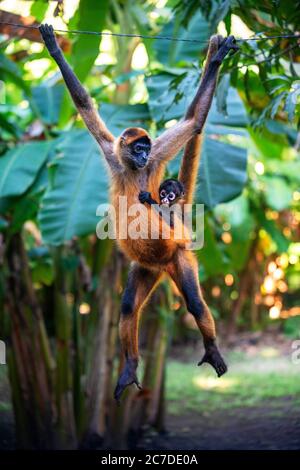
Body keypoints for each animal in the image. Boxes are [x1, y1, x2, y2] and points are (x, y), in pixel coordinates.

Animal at [39, 23, 239, 402]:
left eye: (148, 148)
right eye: (137, 148)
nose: (144, 156)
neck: (133, 169)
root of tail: (162, 265)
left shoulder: (158, 159)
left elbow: (193, 122)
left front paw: (217, 59)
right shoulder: (111, 153)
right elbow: (84, 104)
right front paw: (54, 48)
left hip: (177, 256)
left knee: (194, 302)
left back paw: (211, 347)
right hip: (146, 266)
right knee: (129, 307)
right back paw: (130, 365)